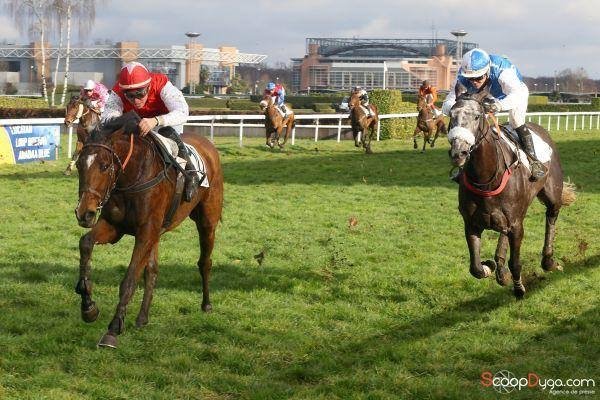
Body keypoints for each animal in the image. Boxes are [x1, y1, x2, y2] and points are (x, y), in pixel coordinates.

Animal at [74, 112, 224, 348]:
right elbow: (86, 243)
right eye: (79, 165)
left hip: (207, 221)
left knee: (205, 262)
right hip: (157, 233)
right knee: (152, 270)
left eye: (105, 165)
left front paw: (113, 329)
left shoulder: (145, 232)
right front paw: (88, 306)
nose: (84, 213)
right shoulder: (116, 227)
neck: (131, 178)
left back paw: (206, 304)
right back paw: (142, 317)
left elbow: (130, 279)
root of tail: (208, 145)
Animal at [447, 91, 575, 299]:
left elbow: (515, 262)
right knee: (503, 233)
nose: (459, 153)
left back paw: (548, 260)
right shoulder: (471, 224)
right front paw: (489, 266)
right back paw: (500, 269)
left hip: (552, 195)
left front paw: (519, 288)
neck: (486, 179)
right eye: (451, 116)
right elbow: (475, 268)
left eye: (477, 116)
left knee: (551, 216)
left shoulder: (516, 226)